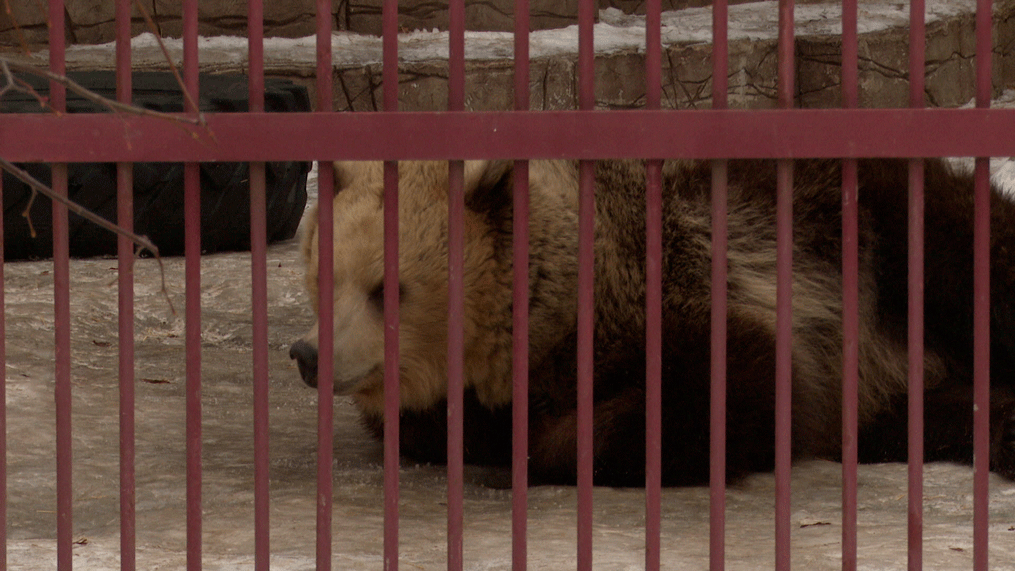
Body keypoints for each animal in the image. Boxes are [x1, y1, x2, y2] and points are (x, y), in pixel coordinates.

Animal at [290, 157, 1015, 486]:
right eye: (325, 275)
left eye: (388, 288)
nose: (308, 354)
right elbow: (431, 423)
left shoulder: (682, 282)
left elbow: (737, 386)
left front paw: (553, 443)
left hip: (880, 231)